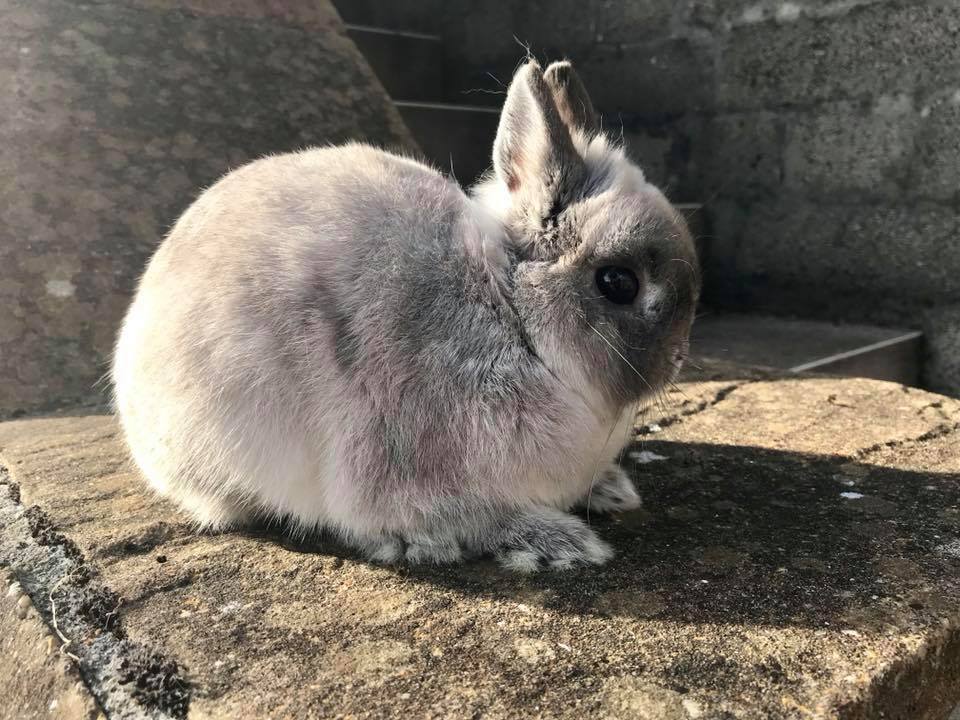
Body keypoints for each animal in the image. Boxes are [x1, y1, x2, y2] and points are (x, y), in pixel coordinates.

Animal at [111, 60, 700, 572]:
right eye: (618, 283)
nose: (678, 359)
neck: (510, 316)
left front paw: (613, 490)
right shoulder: (413, 472)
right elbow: (474, 520)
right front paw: (559, 542)